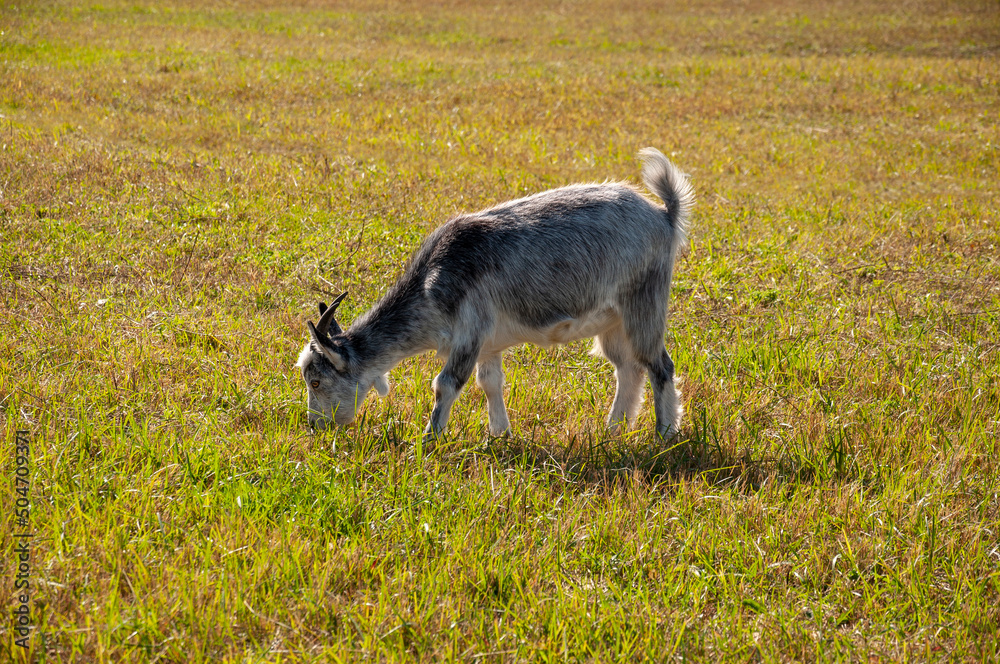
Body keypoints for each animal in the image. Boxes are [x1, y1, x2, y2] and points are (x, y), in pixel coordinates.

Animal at [296, 147, 693, 441]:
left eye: (315, 380)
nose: (315, 426)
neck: (431, 282)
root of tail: (663, 215)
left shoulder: (469, 333)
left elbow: (445, 384)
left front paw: (428, 439)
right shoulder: (489, 343)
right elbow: (490, 383)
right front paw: (499, 434)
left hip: (644, 302)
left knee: (659, 366)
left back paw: (664, 434)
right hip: (612, 322)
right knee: (627, 368)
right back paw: (613, 429)